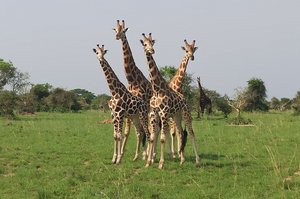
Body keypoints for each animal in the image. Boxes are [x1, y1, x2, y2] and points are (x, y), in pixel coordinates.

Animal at [113, 20, 154, 160]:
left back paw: (150, 154)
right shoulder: (128, 108)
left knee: (151, 129)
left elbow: (140, 130)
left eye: (123, 31)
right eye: (115, 30)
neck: (132, 80)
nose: (117, 36)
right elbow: (127, 132)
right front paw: (121, 153)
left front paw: (144, 154)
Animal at [139, 33, 200, 168]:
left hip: (185, 114)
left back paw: (197, 161)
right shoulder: (155, 113)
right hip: (176, 116)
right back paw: (181, 160)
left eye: (152, 42)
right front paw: (149, 162)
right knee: (180, 133)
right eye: (145, 44)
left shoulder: (164, 113)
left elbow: (163, 137)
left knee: (191, 133)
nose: (151, 50)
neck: (157, 89)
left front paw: (161, 163)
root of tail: (184, 98)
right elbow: (154, 136)